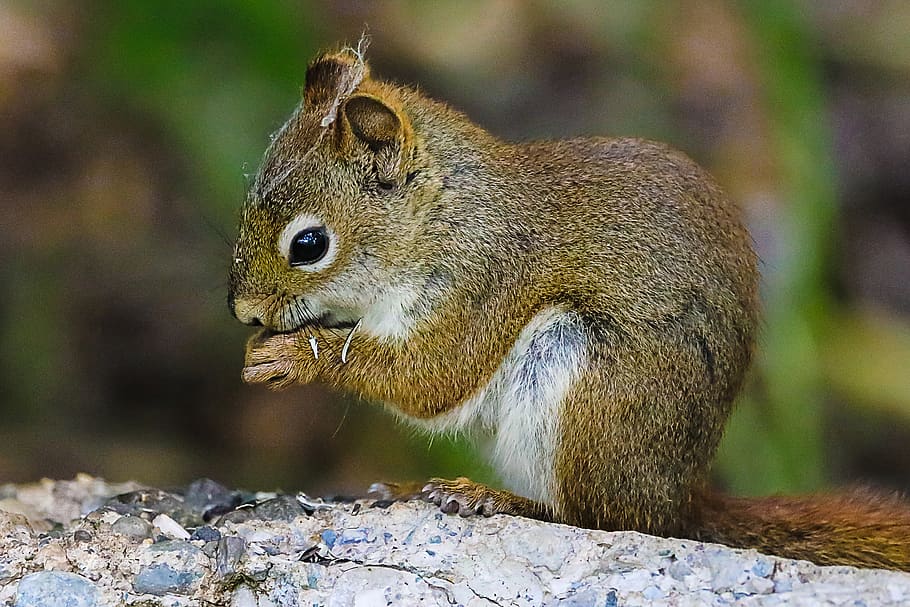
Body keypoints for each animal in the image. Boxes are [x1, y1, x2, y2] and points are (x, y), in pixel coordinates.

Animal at [228, 45, 910, 571]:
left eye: (309, 245)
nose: (243, 311)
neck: (442, 217)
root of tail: (679, 499)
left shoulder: (483, 283)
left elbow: (431, 376)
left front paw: (296, 358)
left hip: (582, 383)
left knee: (595, 519)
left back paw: (495, 499)